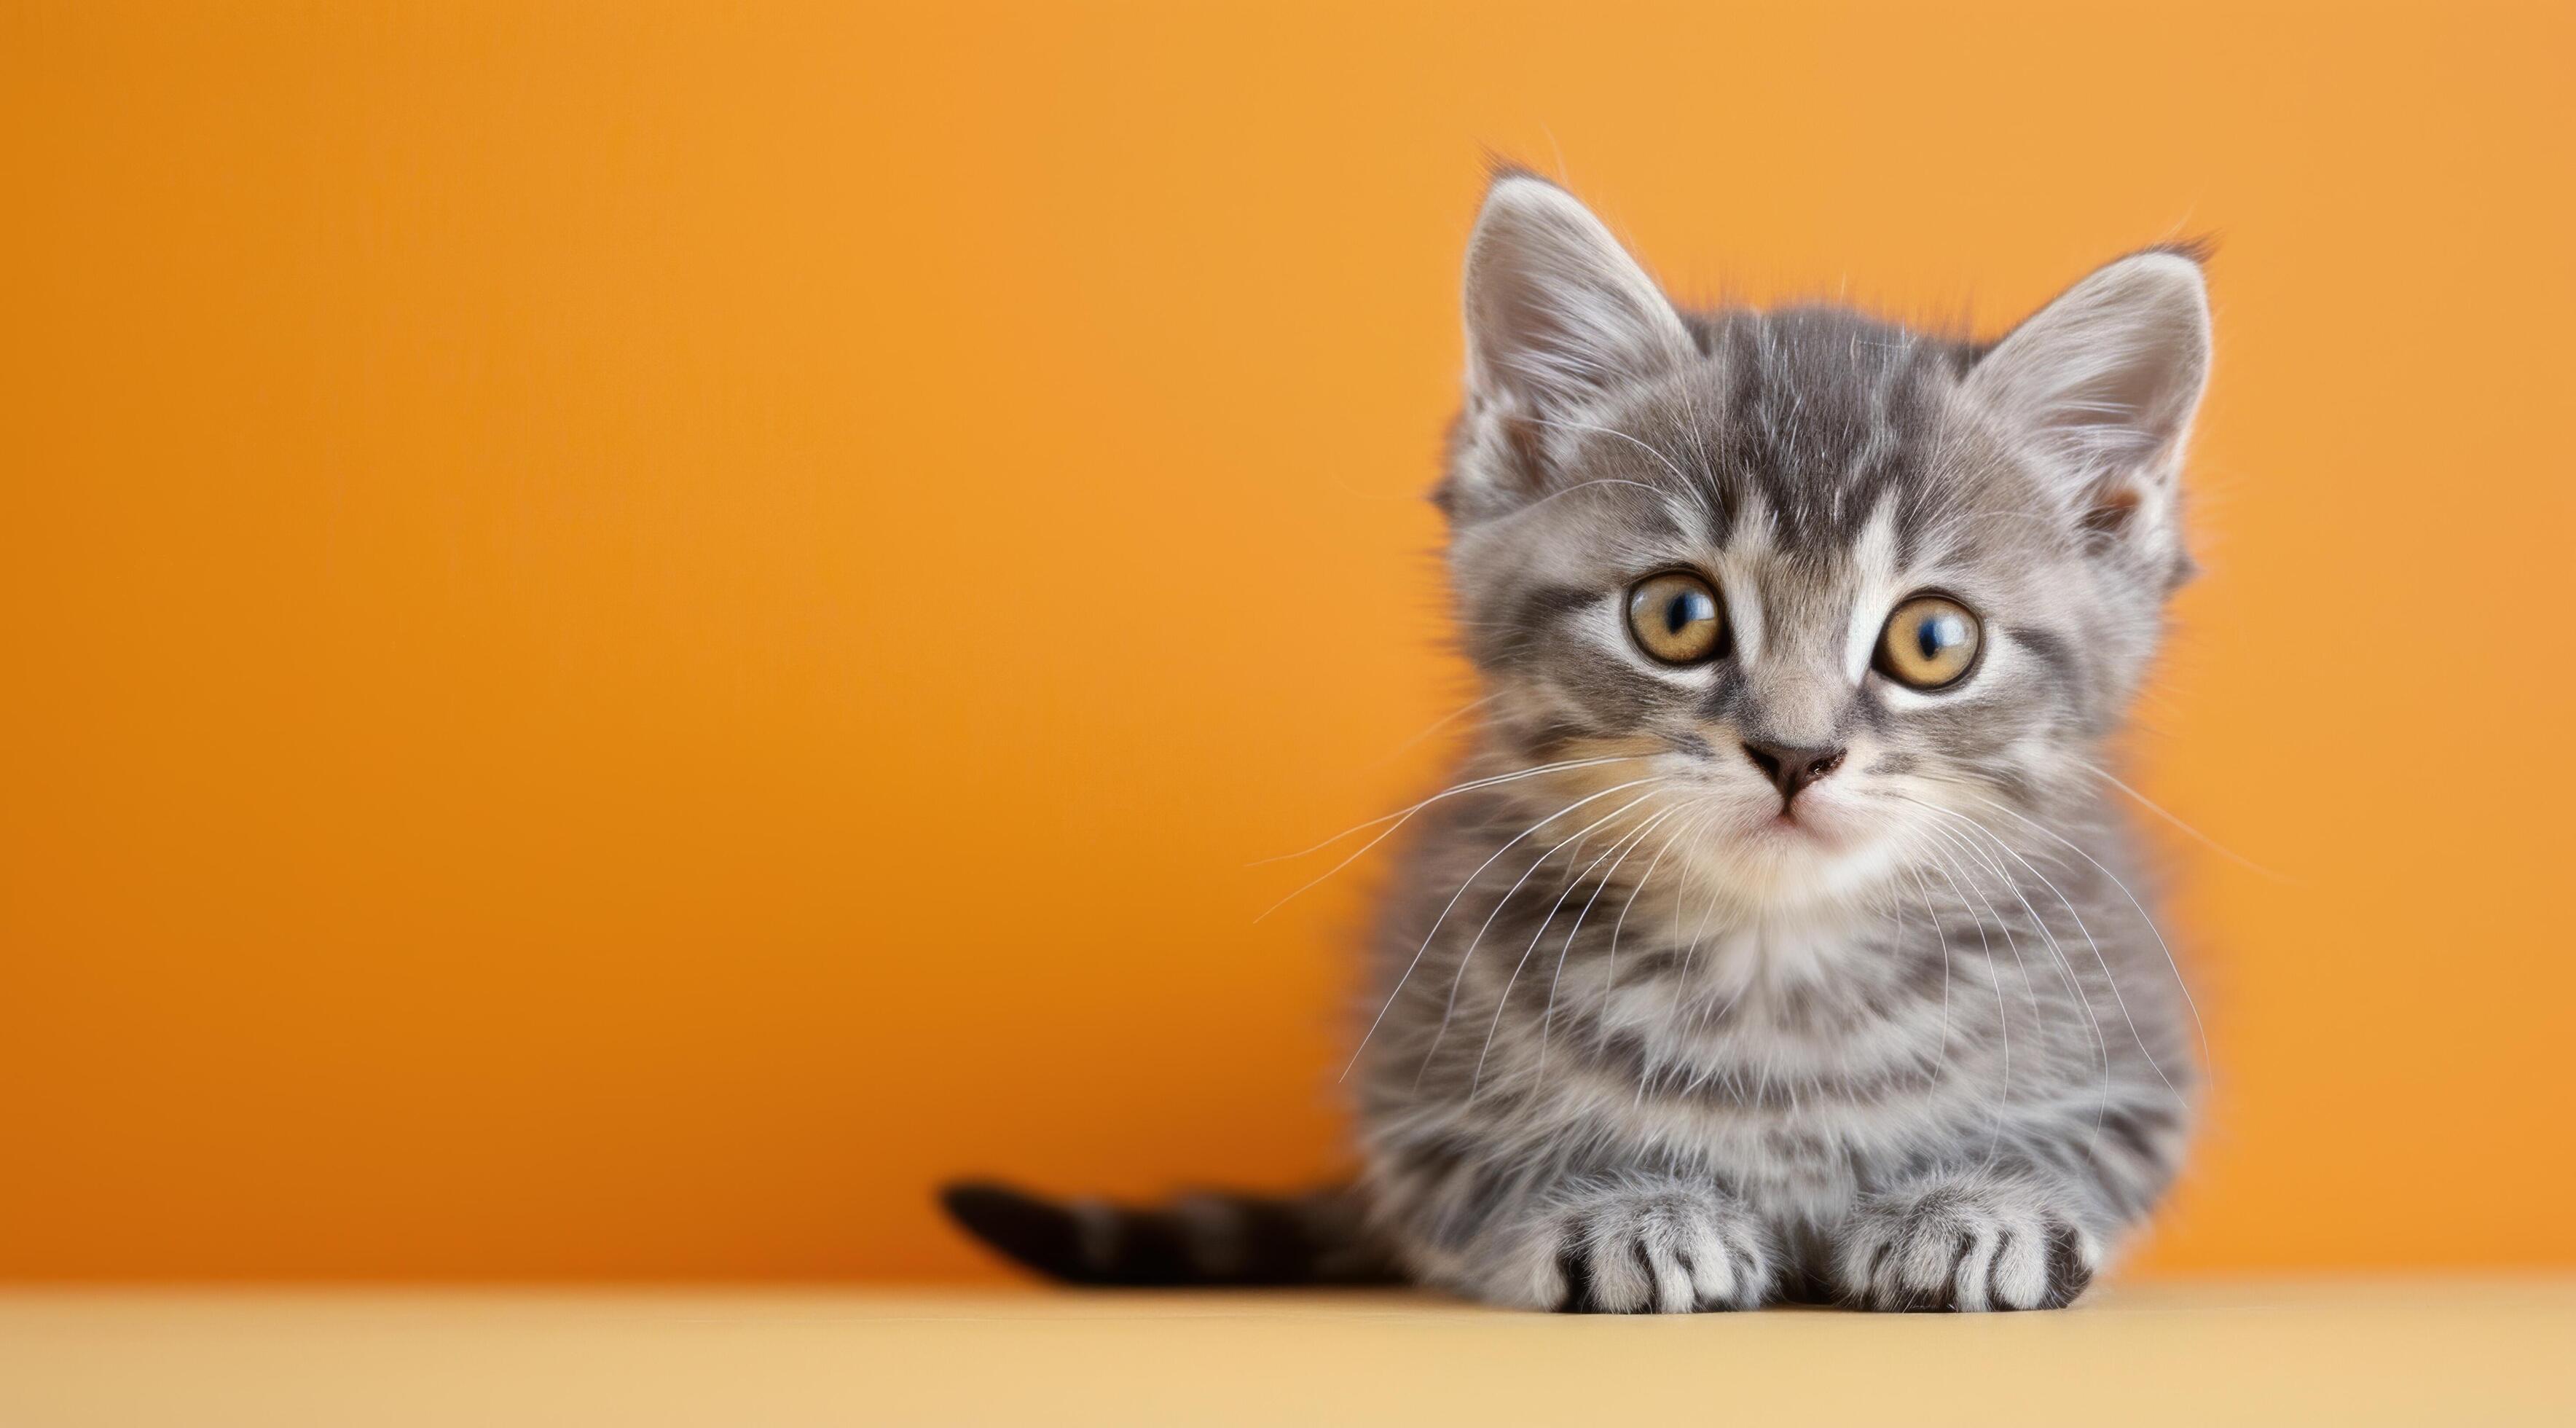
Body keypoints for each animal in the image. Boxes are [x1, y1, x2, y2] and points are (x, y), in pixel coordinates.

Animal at [948, 173, 2215, 1304]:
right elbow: (1486, 1182)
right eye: (1676, 615)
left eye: (1933, 640)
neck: (1780, 967)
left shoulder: (2138, 1056)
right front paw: (1624, 1215)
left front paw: (1985, 1207)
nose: (1795, 753)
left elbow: (2091, 1153)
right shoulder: (1414, 1096)